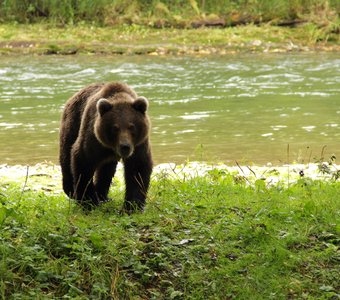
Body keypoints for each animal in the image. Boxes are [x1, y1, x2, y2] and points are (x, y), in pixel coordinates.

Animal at [59, 82, 153, 211]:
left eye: (131, 126)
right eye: (115, 128)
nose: (125, 146)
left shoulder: (139, 145)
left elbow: (137, 168)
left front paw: (132, 206)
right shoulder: (93, 138)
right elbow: (83, 160)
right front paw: (89, 201)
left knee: (106, 170)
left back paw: (102, 196)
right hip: (73, 122)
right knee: (67, 154)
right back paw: (71, 190)